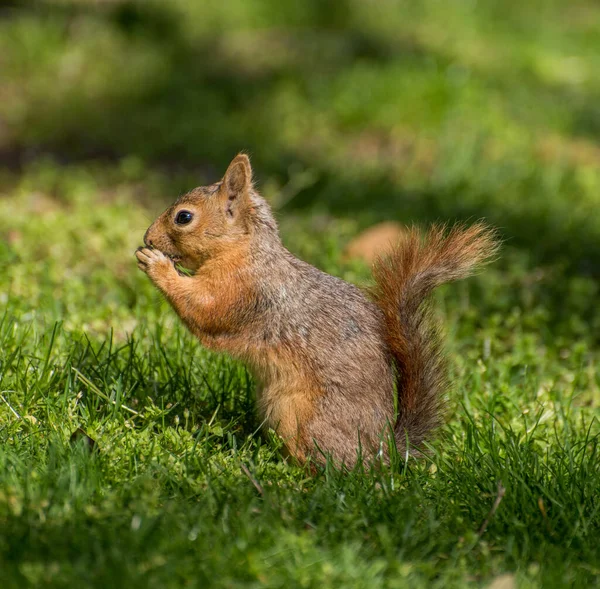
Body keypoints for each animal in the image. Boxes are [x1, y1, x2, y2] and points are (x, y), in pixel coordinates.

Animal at [135, 154, 496, 466]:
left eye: (184, 217)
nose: (147, 237)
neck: (245, 252)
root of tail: (382, 451)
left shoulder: (247, 293)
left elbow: (205, 310)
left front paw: (156, 265)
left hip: (305, 419)